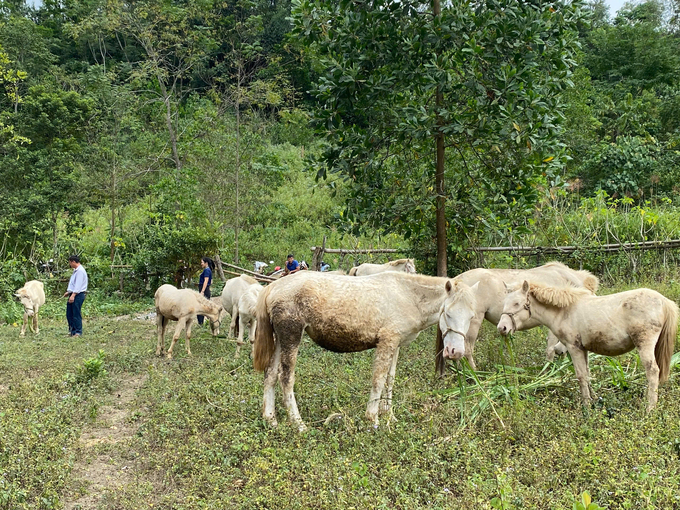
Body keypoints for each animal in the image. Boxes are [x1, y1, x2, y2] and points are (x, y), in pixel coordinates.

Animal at [251, 270, 478, 430]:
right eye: (448, 313)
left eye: (471, 316)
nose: (456, 351)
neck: (408, 295)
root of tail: (273, 287)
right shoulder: (387, 341)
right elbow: (378, 379)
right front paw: (373, 418)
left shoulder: (395, 345)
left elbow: (390, 379)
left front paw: (390, 415)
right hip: (291, 335)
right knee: (285, 378)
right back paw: (298, 424)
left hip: (280, 339)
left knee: (270, 374)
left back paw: (270, 419)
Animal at [436, 262, 600, 374]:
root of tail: (457, 280)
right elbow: (550, 350)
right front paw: (548, 372)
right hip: (473, 323)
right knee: (467, 349)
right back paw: (474, 374)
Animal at [496, 278, 676, 410]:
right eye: (504, 303)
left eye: (517, 303)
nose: (502, 328)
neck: (564, 311)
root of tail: (664, 301)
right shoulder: (584, 349)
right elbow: (588, 374)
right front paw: (594, 399)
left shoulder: (574, 348)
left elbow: (581, 376)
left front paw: (587, 407)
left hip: (645, 345)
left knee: (652, 371)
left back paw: (649, 409)